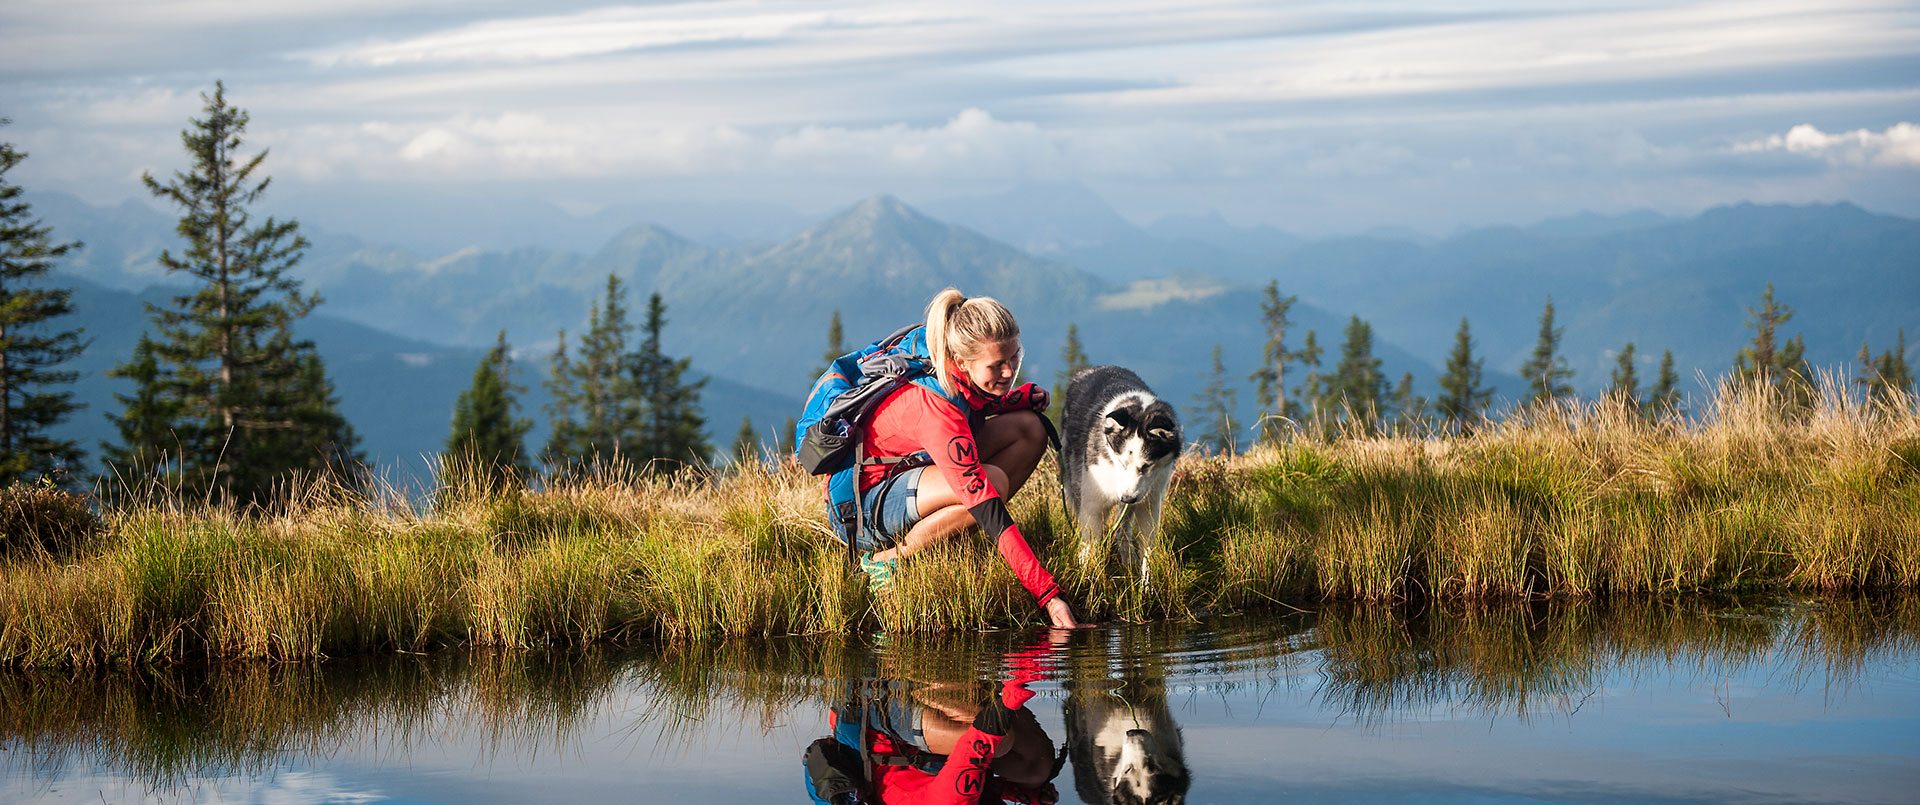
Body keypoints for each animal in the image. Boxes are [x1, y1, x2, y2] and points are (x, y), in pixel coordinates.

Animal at [1059, 368, 1175, 584]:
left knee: (1122, 530)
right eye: (1121, 463)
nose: (1127, 498)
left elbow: (1147, 548)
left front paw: (1147, 585)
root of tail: (1090, 370)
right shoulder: (1092, 506)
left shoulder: (1148, 504)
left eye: (1146, 466)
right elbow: (1091, 546)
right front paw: (1089, 581)